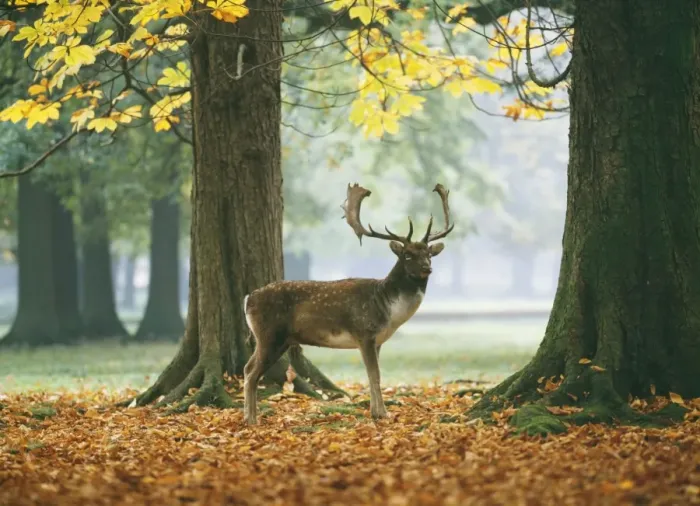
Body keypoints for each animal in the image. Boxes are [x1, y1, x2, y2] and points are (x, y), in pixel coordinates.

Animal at [242, 183, 454, 425]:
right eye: (407, 255)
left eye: (429, 254)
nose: (427, 268)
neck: (388, 309)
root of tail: (248, 298)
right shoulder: (364, 333)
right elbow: (375, 375)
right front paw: (383, 414)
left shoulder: (377, 341)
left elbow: (373, 375)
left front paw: (376, 412)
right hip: (269, 334)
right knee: (251, 372)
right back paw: (251, 419)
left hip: (279, 339)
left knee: (248, 368)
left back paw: (249, 416)